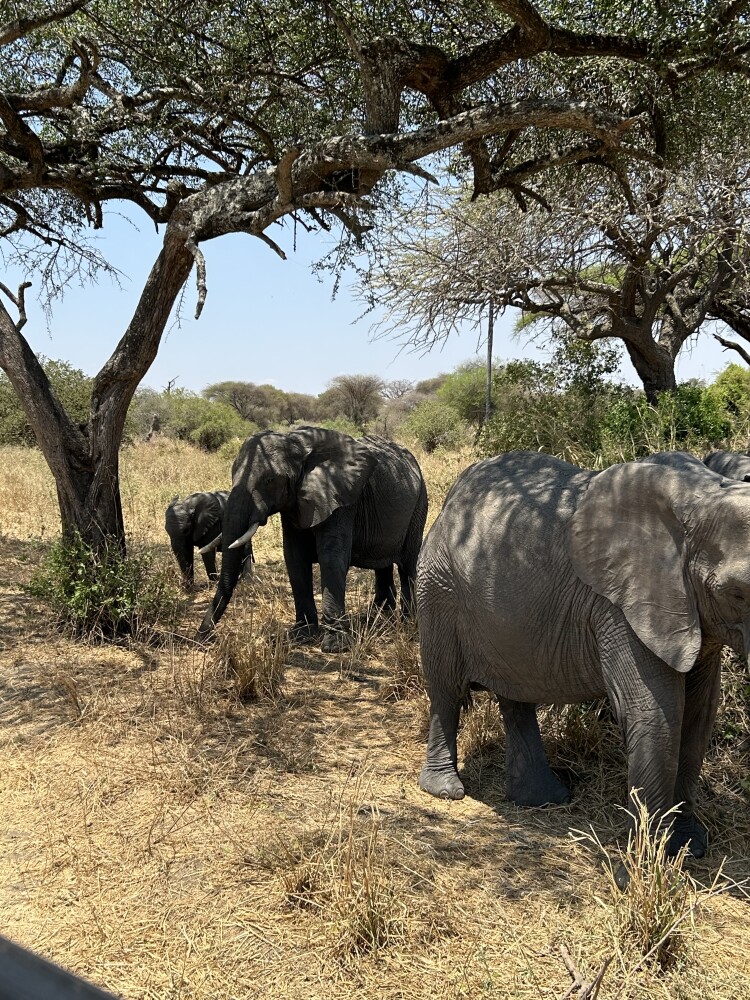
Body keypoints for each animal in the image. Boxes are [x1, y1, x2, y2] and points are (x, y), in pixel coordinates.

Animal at [196, 426, 428, 650]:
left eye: (269, 480)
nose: (204, 638)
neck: (297, 445)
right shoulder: (294, 503)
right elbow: (294, 557)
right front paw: (301, 636)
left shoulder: (340, 501)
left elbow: (331, 559)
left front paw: (335, 646)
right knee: (382, 564)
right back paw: (378, 618)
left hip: (419, 504)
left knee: (407, 564)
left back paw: (408, 621)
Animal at [416, 449, 750, 872]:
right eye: (737, 594)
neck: (702, 493)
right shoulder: (620, 607)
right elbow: (657, 713)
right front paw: (642, 869)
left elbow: (698, 714)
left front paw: (689, 848)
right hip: (437, 590)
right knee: (444, 688)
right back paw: (445, 790)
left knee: (516, 695)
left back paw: (542, 798)